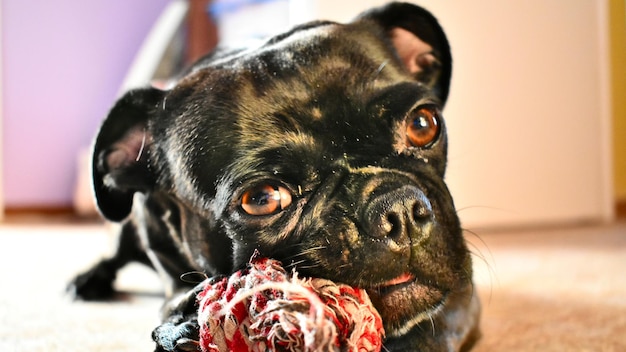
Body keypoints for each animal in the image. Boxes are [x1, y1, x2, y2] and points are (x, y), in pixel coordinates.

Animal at [69, 2, 478, 350]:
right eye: (263, 199)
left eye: (423, 124)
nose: (398, 209)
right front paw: (179, 326)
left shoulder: (460, 297)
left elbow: (431, 328)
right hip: (127, 229)